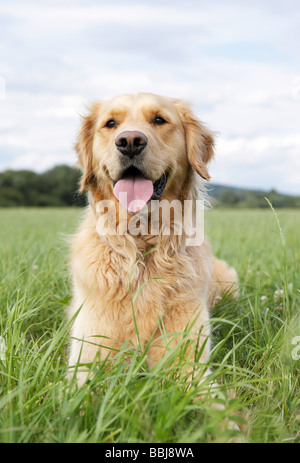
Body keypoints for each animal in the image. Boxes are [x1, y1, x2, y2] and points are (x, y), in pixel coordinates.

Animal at [67, 92, 237, 386]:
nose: (130, 142)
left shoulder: (187, 356)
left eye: (159, 120)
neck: (142, 243)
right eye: (110, 123)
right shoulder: (89, 355)